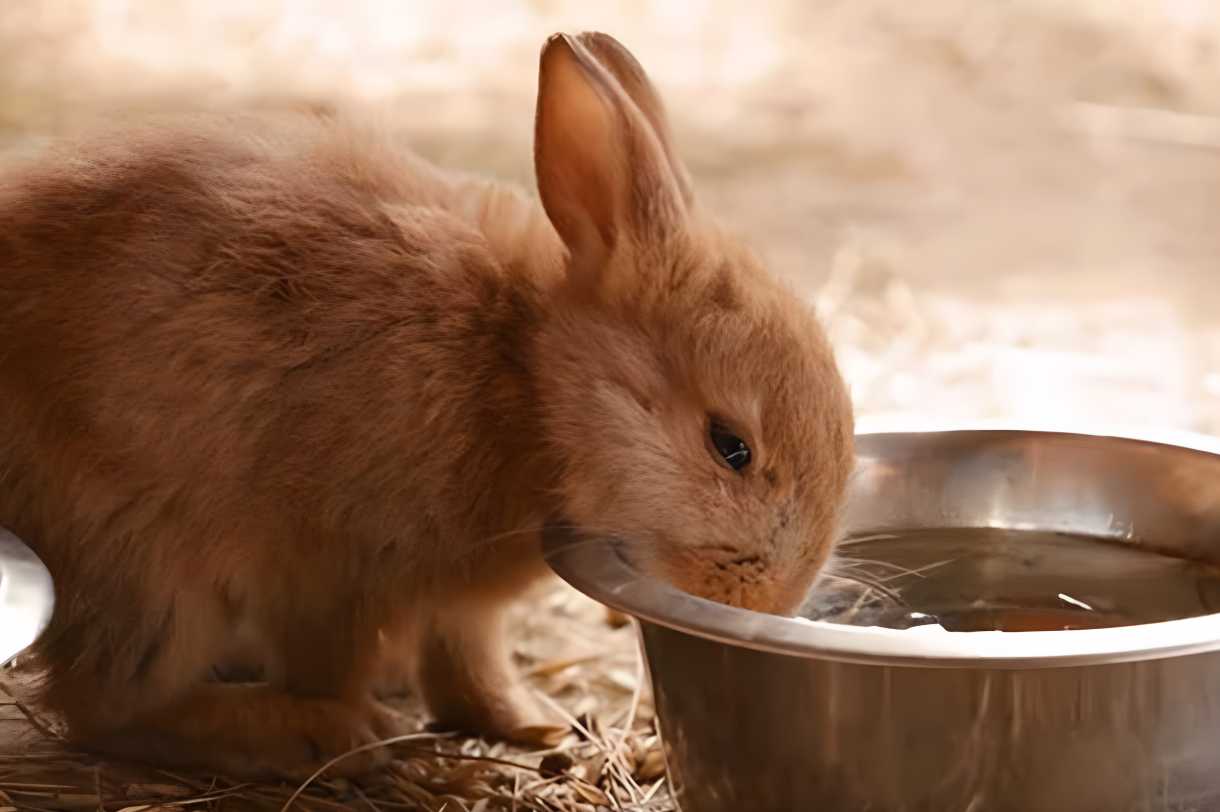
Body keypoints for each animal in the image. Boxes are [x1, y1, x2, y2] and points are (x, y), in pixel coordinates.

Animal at [0, 33, 858, 780]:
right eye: (729, 445)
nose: (771, 600)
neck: (527, 376)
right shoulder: (329, 565)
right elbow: (332, 660)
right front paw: (355, 730)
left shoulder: (457, 605)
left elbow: (469, 662)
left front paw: (532, 722)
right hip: (151, 561)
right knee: (108, 703)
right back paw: (302, 735)